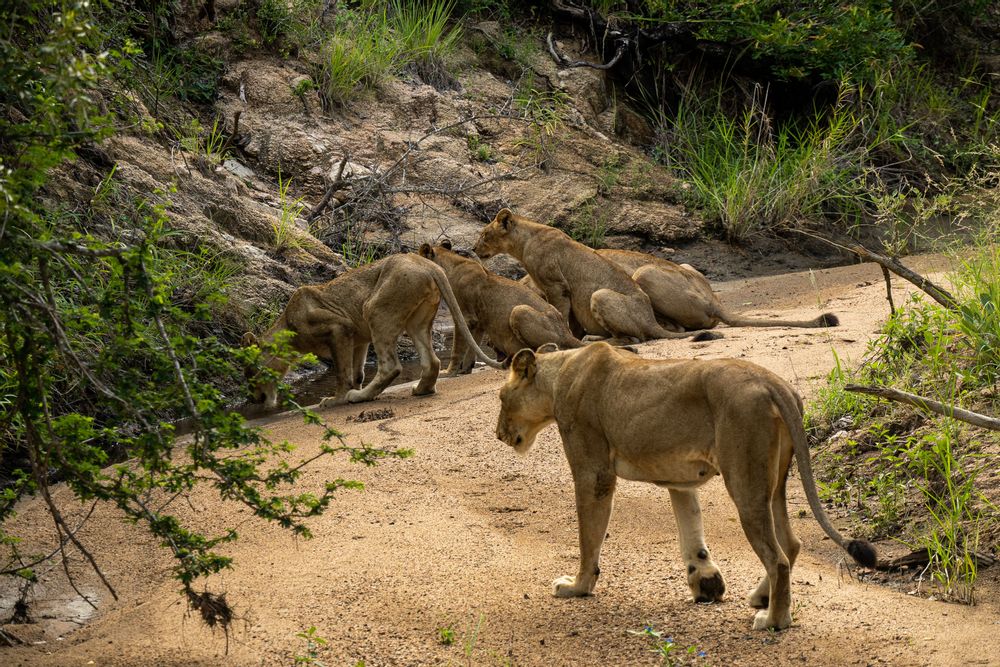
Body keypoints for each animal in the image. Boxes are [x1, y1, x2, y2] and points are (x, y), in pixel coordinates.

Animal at [242, 254, 502, 408]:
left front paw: (335, 399)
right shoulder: (357, 339)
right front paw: (351, 389)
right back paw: (420, 390)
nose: (253, 399)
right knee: (432, 362)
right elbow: (356, 373)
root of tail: (427, 263)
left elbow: (342, 373)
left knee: (391, 366)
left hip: (376, 310)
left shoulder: (339, 328)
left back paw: (360, 397)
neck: (287, 328)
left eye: (250, 372)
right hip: (416, 322)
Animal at [418, 240, 584, 373]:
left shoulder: (465, 316)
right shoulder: (479, 322)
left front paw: (449, 372)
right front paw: (465, 369)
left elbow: (457, 348)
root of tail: (566, 331)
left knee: (558, 348)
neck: (449, 264)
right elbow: (473, 346)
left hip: (519, 311)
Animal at [473, 209, 719, 343]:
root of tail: (649, 319)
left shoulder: (556, 286)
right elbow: (572, 321)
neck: (524, 241)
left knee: (631, 338)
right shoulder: (569, 293)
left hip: (602, 294)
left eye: (484, 234)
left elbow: (560, 314)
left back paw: (593, 339)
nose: (473, 249)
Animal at [494, 342, 876, 631]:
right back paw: (762, 598)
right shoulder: (678, 479)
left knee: (777, 556)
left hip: (745, 481)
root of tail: (772, 382)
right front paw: (706, 582)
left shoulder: (594, 473)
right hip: (774, 483)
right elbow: (690, 528)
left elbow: (589, 538)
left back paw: (773, 620)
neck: (559, 375)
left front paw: (577, 586)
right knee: (791, 543)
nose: (497, 435)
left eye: (500, 398)